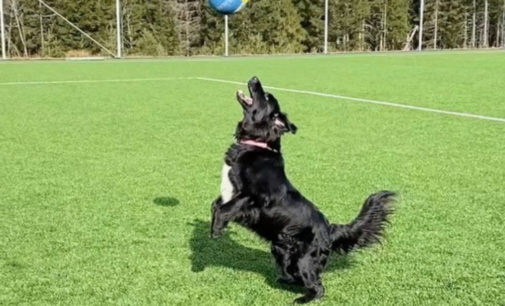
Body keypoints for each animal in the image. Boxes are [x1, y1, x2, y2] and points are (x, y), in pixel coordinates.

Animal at [209, 77, 394, 304]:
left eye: (266, 96)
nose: (254, 78)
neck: (256, 144)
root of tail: (329, 230)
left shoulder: (255, 197)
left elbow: (225, 209)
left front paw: (216, 230)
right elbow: (216, 204)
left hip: (303, 260)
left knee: (318, 287)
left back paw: (302, 299)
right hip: (281, 251)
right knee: (294, 276)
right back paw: (284, 281)